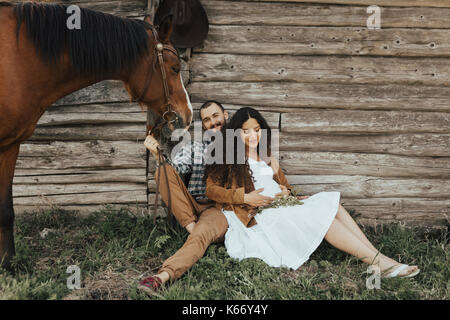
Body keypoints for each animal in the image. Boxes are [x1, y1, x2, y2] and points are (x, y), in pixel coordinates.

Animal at [0, 1, 192, 268]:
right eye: (175, 68)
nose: (188, 114)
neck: (20, 62)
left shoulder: (9, 145)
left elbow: (5, 207)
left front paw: (7, 262)